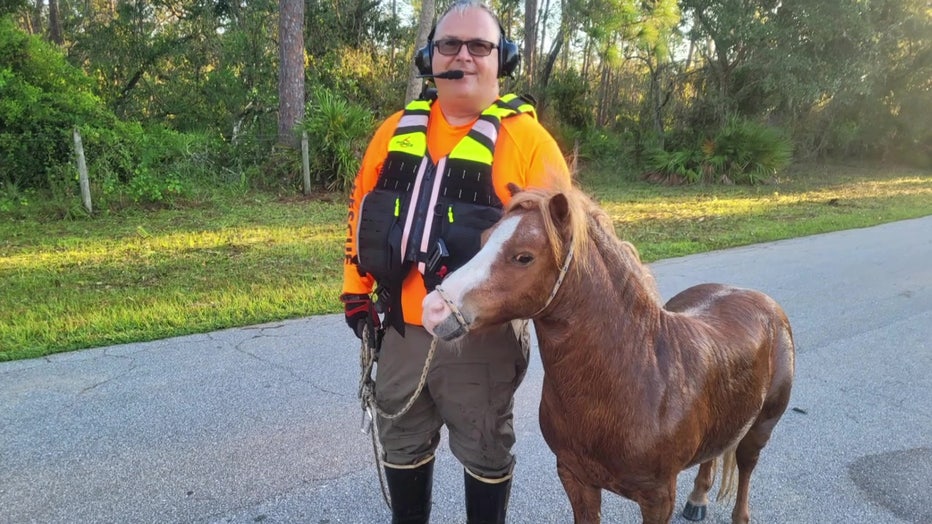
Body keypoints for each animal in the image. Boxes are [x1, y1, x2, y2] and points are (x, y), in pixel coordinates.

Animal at [422, 186, 792, 520]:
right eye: (485, 239)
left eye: (523, 256)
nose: (433, 309)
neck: (635, 377)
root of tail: (759, 300)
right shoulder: (575, 478)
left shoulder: (657, 497)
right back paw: (698, 500)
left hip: (760, 429)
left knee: (746, 467)